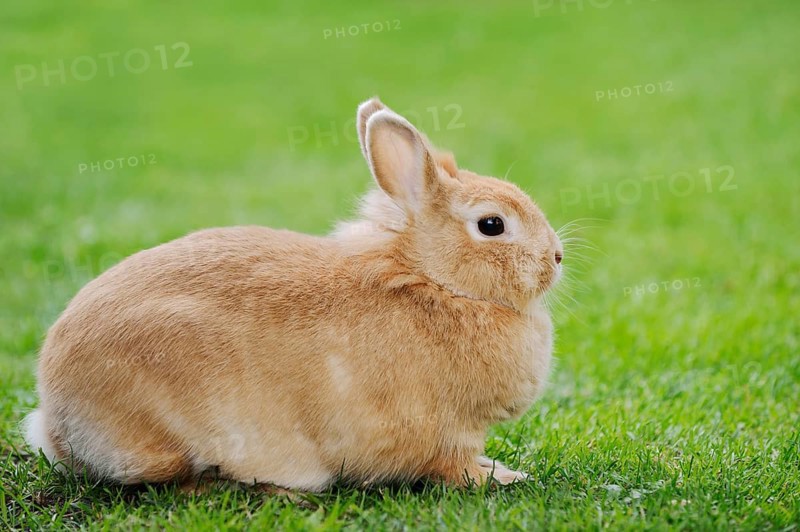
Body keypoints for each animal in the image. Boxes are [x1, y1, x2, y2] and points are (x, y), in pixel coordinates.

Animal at [24, 97, 563, 491]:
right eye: (491, 225)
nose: (556, 257)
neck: (433, 281)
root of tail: (56, 416)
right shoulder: (442, 438)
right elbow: (456, 468)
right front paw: (506, 477)